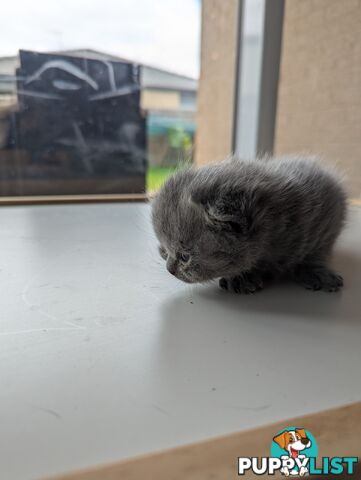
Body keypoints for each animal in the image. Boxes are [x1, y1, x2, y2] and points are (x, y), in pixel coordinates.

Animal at [150, 157, 346, 292]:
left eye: (185, 256)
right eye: (168, 250)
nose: (169, 270)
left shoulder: (328, 220)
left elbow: (316, 254)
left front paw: (317, 273)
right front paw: (241, 278)